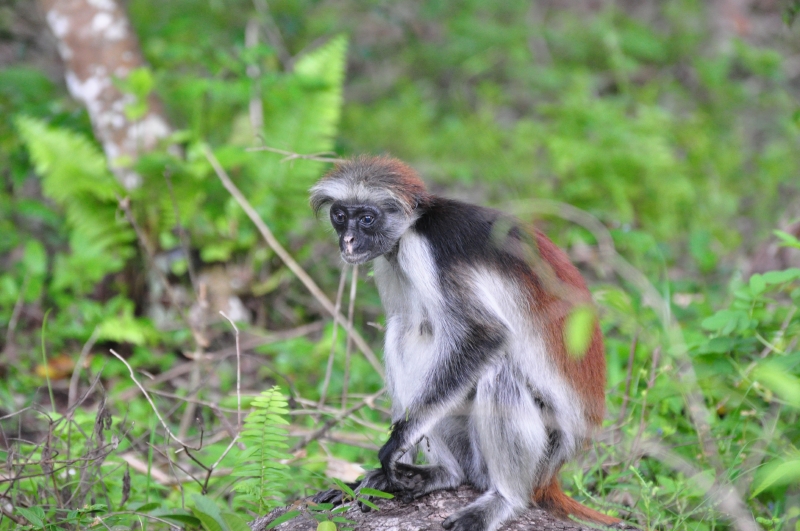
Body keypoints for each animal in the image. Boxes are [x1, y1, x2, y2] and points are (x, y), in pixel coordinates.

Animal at [310, 155, 619, 531]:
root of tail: (551, 476)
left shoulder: (426, 251)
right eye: (340, 215)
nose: (349, 241)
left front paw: (396, 444)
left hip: (548, 446)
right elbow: (409, 325)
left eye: (367, 218)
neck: (415, 224)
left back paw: (504, 499)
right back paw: (445, 473)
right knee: (403, 330)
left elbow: (485, 335)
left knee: (498, 374)